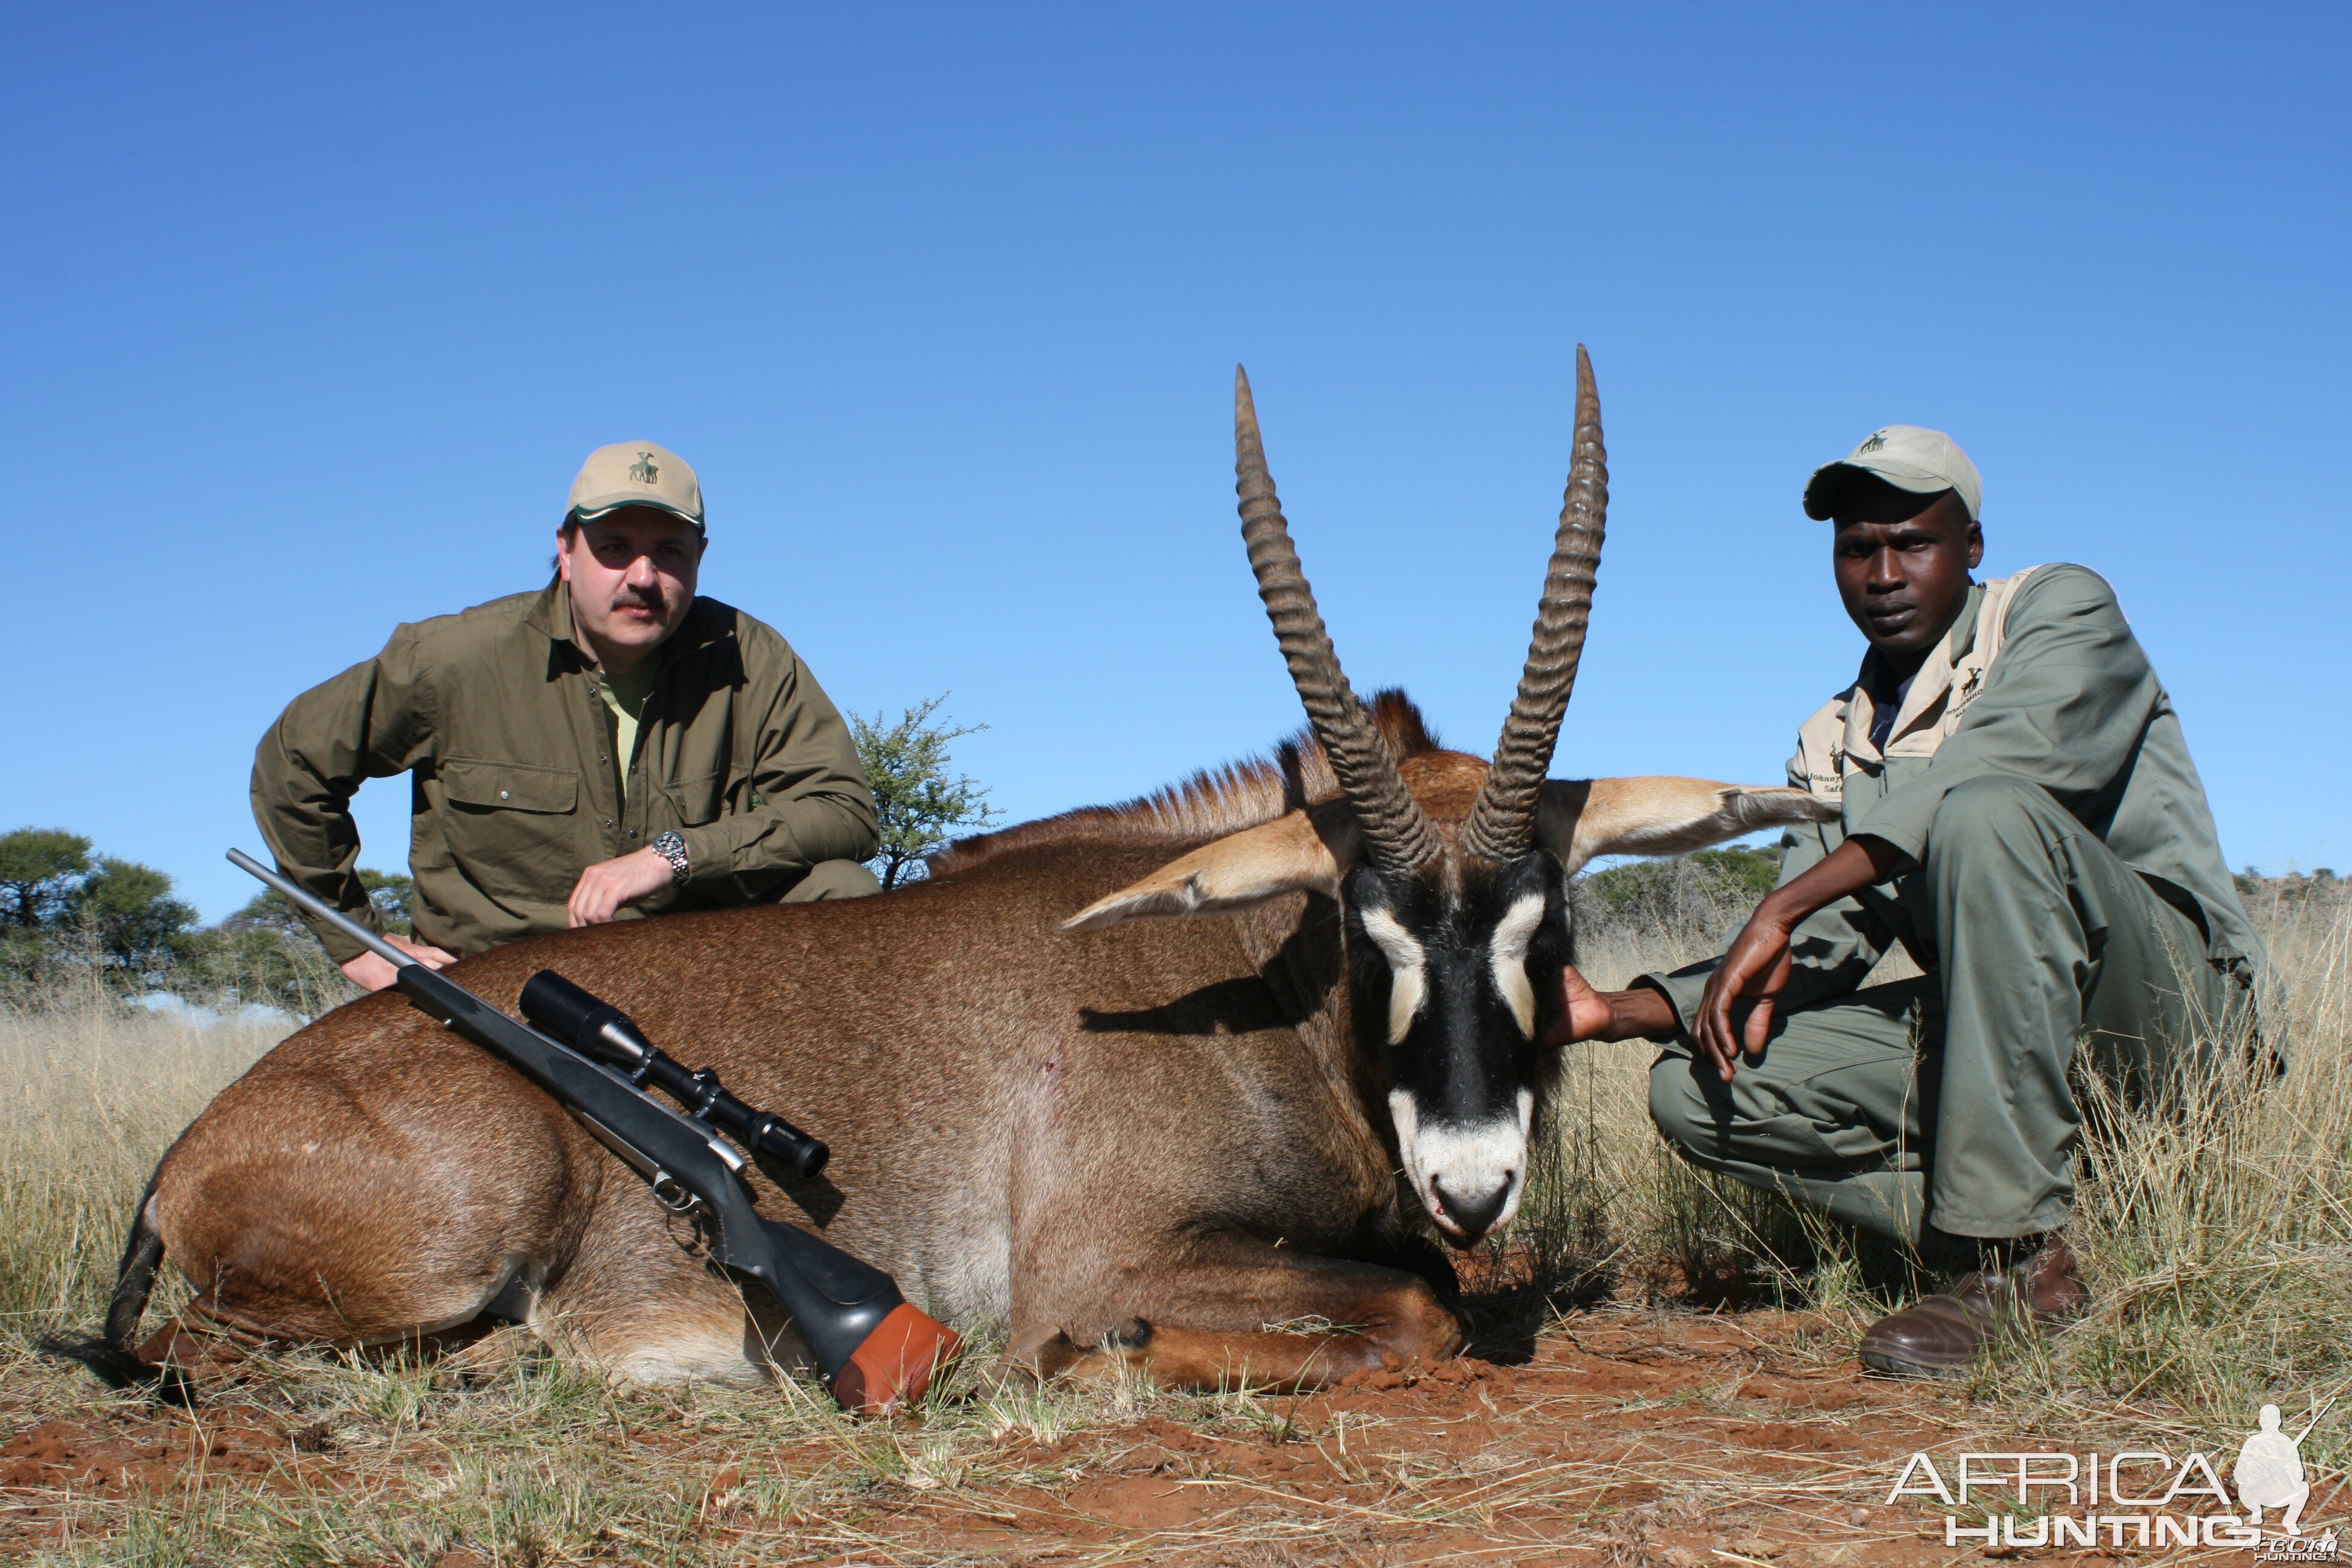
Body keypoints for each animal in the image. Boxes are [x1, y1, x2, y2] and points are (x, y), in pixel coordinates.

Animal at [110, 352, 1834, 1382]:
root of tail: (191, 1148)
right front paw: (1093, 1360)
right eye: (1368, 926)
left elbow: (1435, 1287)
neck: (1252, 1003)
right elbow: (1418, 1313)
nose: (1473, 1179)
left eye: (1547, 923)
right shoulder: (1103, 1250)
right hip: (472, 1227)